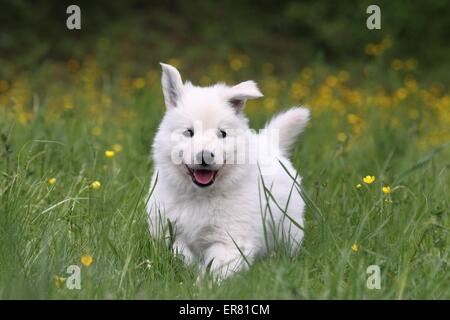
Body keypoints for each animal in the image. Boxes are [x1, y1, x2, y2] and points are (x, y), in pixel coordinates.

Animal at [148, 63, 310, 278]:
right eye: (189, 132)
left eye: (222, 134)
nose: (205, 155)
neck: (200, 196)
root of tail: (267, 142)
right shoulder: (169, 232)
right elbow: (181, 254)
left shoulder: (231, 241)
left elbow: (216, 270)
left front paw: (203, 282)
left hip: (289, 227)